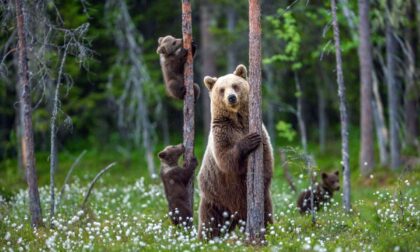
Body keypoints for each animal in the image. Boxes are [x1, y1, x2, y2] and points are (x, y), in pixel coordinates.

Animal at [198, 64, 274, 239]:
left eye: (235, 85)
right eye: (221, 89)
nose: (231, 97)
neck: (237, 120)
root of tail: (235, 215)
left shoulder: (259, 130)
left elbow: (266, 159)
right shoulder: (222, 132)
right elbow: (226, 158)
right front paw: (249, 141)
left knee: (267, 213)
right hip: (215, 197)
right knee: (209, 223)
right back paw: (204, 239)